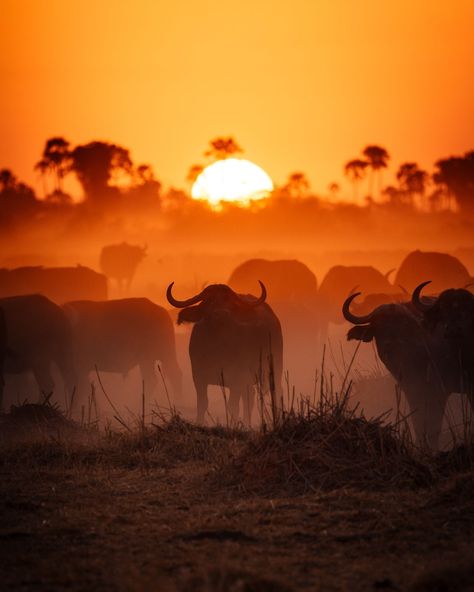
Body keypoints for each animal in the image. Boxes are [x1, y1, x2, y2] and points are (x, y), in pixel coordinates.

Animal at [168, 280, 282, 424]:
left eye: (229, 301)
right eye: (209, 300)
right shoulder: (198, 377)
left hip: (274, 369)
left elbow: (232, 406)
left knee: (275, 393)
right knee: (250, 397)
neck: (218, 347)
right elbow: (202, 403)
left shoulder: (237, 378)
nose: (221, 313)